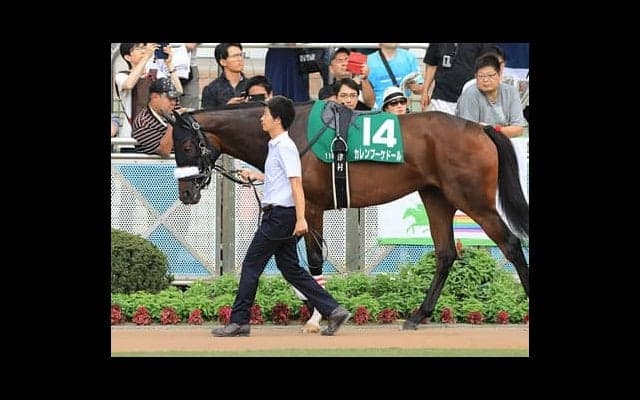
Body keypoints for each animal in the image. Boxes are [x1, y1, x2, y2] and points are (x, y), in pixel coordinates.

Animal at [169, 101, 529, 331]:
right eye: (174, 147)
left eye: (186, 147)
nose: (186, 194)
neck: (291, 133)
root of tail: (481, 128)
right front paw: (314, 307)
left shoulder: (311, 206)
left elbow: (313, 260)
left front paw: (317, 315)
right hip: (436, 197)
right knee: (445, 254)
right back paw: (418, 315)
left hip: (473, 200)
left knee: (510, 244)